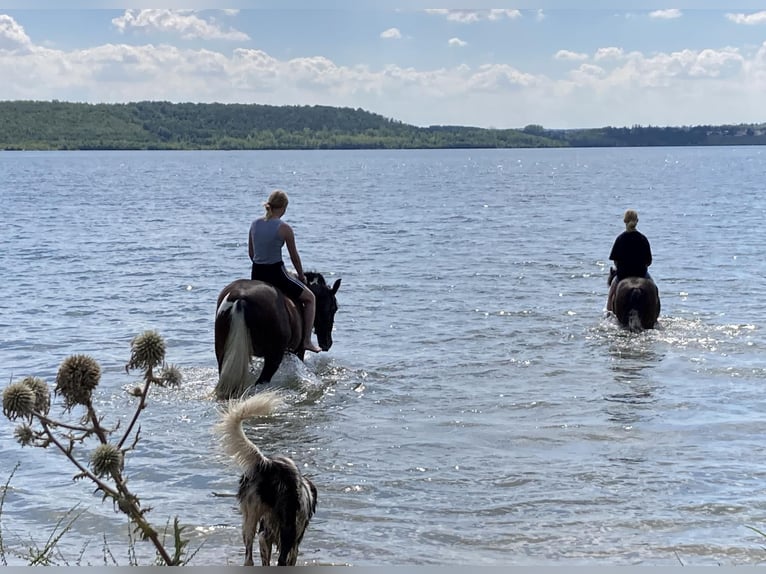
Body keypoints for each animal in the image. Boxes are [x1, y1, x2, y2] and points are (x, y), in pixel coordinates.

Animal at [212, 274, 340, 400]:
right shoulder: (298, 351)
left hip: (223, 352)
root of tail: (241, 298)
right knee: (261, 382)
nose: (327, 343)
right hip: (274, 356)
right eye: (334, 308)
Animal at [218, 394, 320, 568]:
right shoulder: (291, 543)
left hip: (251, 519)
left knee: (249, 559)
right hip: (264, 525)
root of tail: (268, 463)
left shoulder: (265, 536)